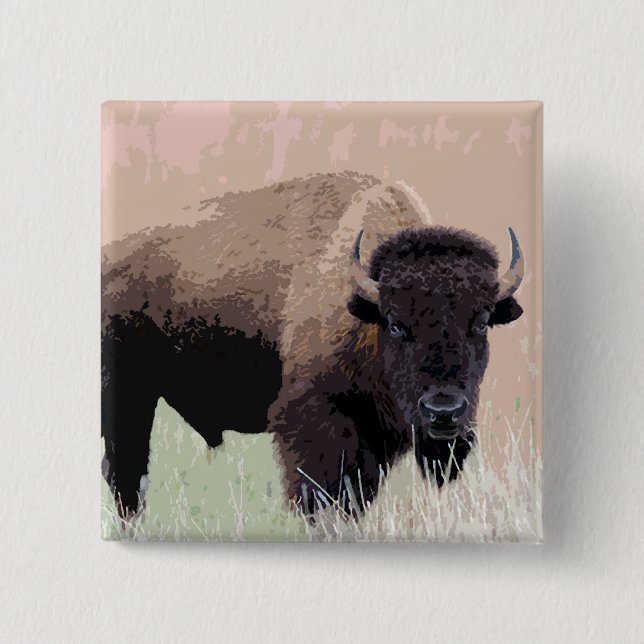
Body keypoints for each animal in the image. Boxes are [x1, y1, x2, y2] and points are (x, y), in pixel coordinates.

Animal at [101, 171, 523, 517]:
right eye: (395, 324)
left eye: (482, 321)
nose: (443, 411)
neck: (362, 303)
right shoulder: (317, 424)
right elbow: (320, 494)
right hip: (127, 396)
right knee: (126, 472)